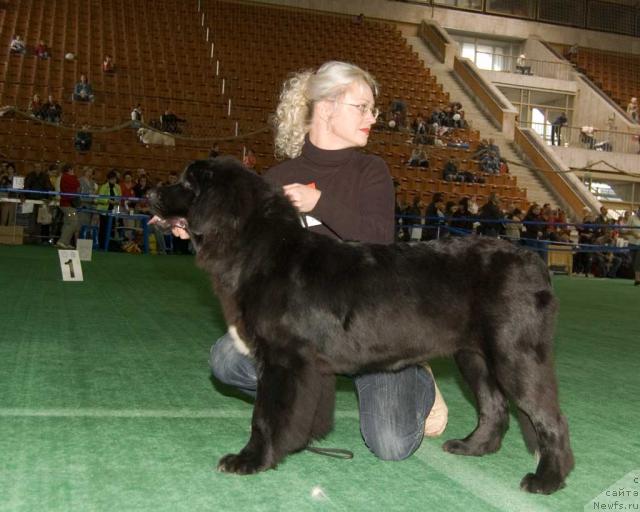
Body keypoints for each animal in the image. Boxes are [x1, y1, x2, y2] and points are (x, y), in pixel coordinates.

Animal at [150, 158, 576, 494]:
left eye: (187, 183)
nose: (151, 192)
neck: (261, 249)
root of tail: (534, 262)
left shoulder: (282, 358)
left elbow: (264, 414)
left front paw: (250, 460)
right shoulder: (304, 365)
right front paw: (301, 443)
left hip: (515, 355)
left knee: (550, 418)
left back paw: (547, 480)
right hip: (474, 357)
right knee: (494, 407)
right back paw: (472, 447)